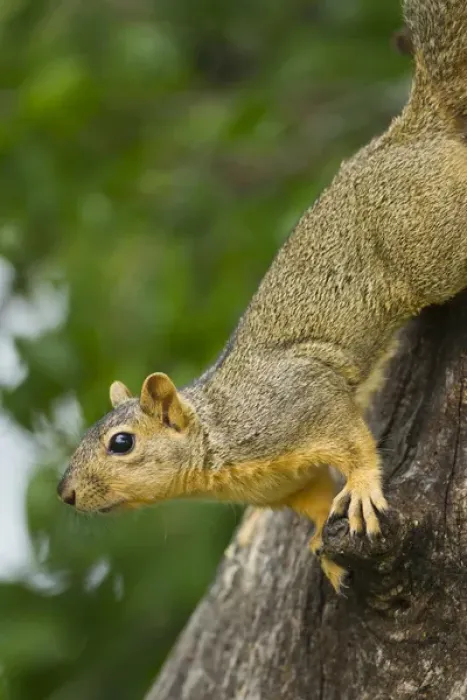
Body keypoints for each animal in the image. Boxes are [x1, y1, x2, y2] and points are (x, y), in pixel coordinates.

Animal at [58, 0, 467, 592]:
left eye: (121, 443)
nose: (65, 493)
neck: (217, 443)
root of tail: (407, 135)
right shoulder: (287, 484)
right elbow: (316, 502)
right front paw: (323, 546)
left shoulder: (303, 400)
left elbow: (354, 442)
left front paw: (363, 489)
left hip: (433, 243)